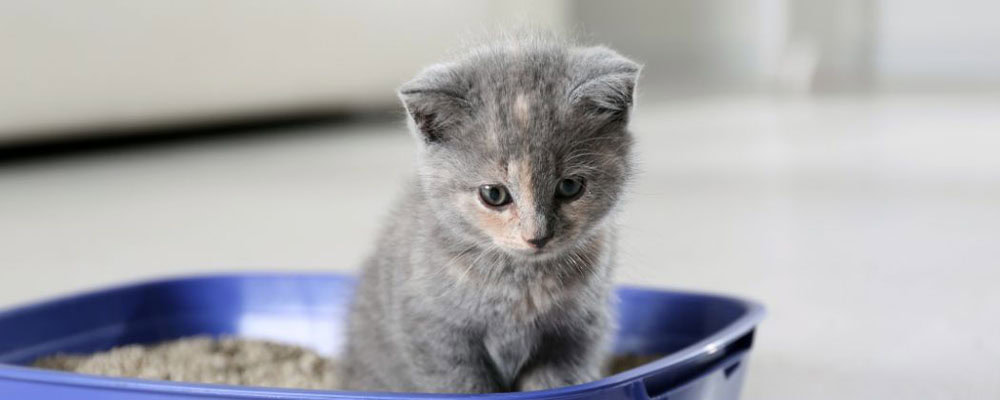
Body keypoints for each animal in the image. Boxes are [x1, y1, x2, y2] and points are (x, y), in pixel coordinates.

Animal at [342, 32, 640, 392]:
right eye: (494, 194)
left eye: (570, 187)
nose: (537, 236)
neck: (521, 284)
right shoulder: (435, 335)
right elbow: (463, 385)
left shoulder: (576, 337)